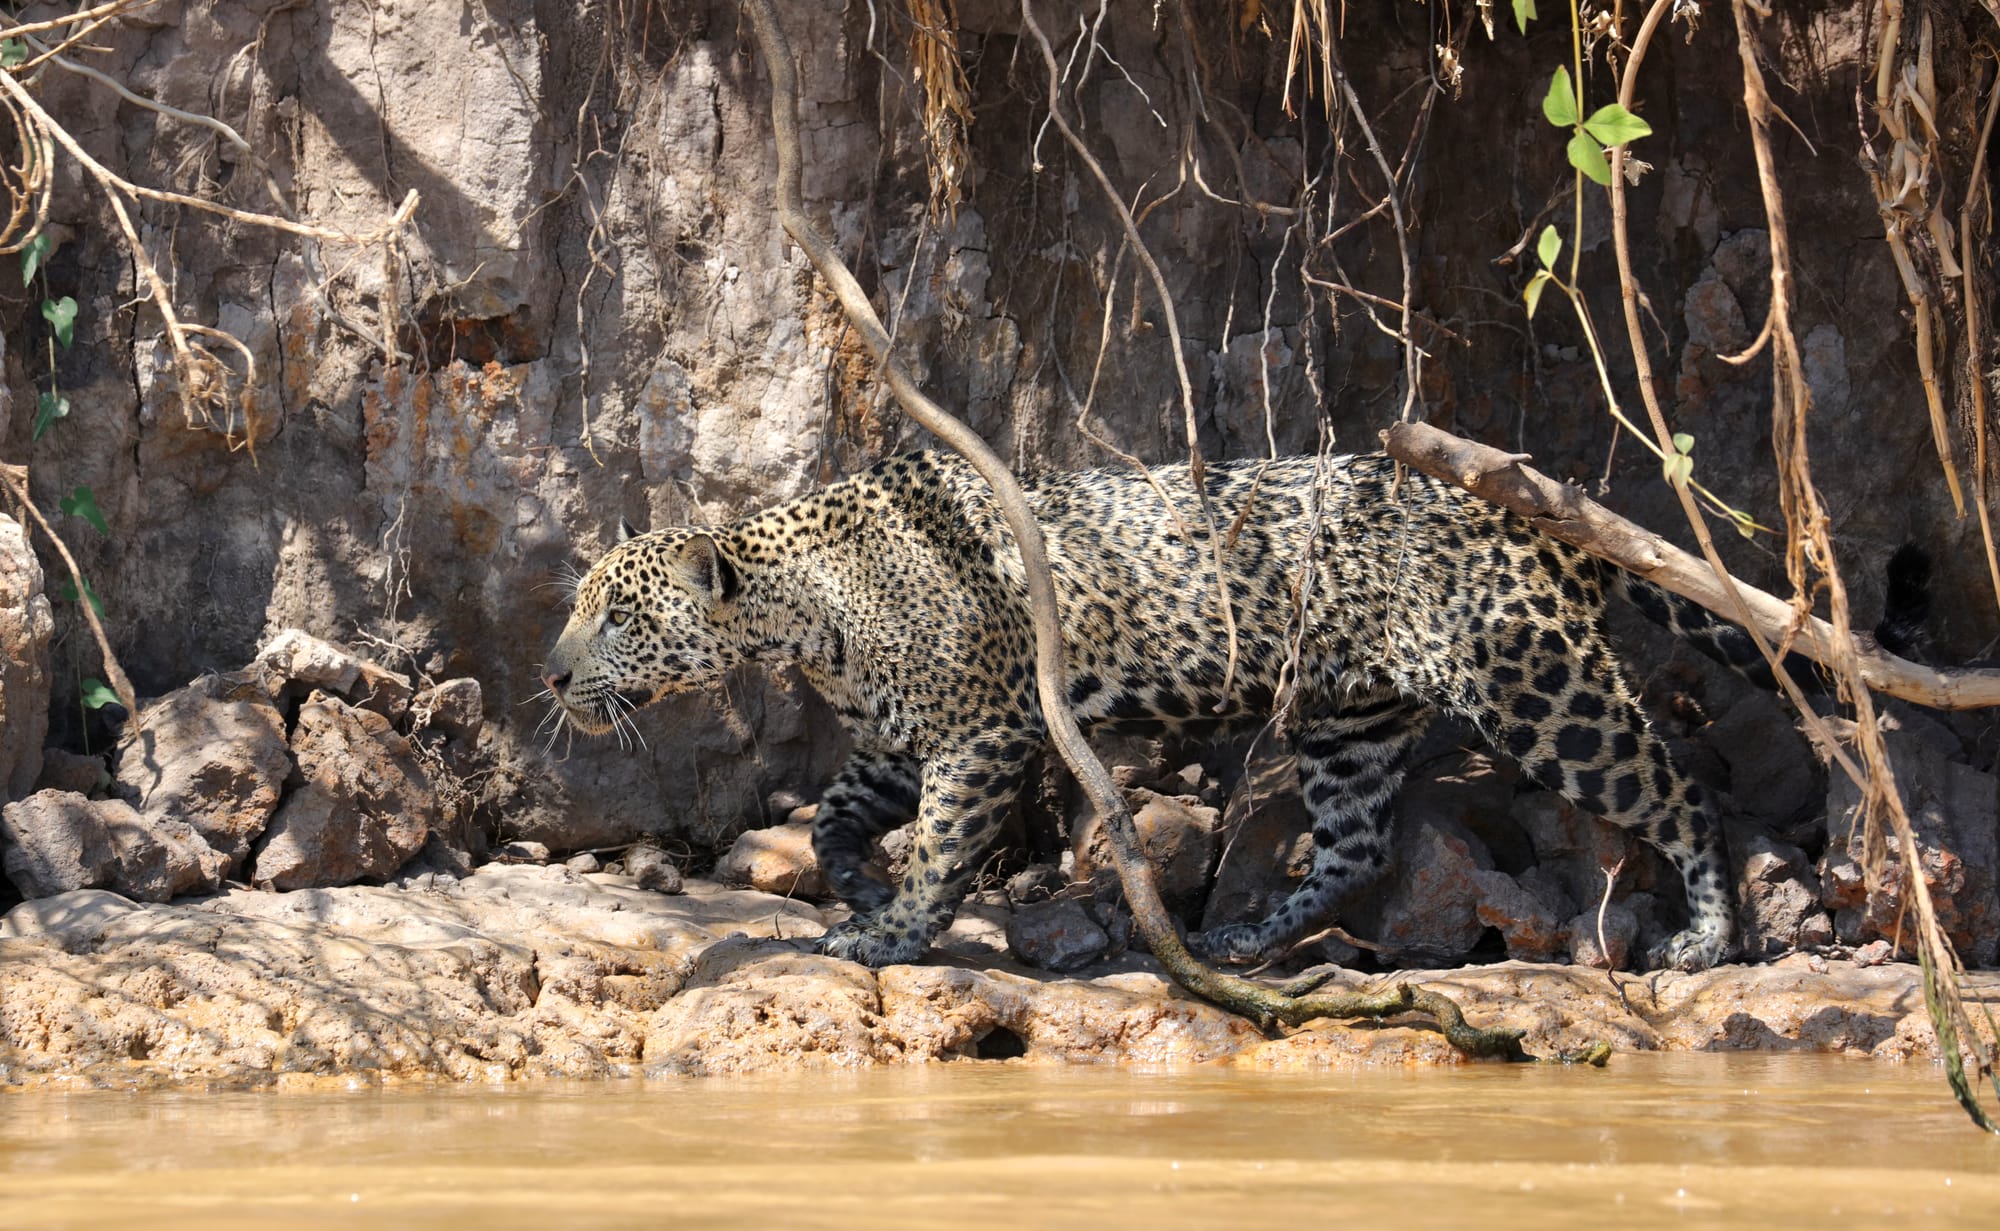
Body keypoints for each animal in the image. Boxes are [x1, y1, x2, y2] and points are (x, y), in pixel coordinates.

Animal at [543, 449, 1782, 973]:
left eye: (616, 616)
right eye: (577, 608)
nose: (551, 676)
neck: (805, 612)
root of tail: (1534, 506)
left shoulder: (980, 733)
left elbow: (940, 847)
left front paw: (889, 934)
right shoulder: (906, 735)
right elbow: (844, 814)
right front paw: (852, 883)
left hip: (1534, 679)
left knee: (1673, 786)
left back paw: (1709, 938)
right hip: (1350, 715)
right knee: (1358, 840)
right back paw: (1241, 937)